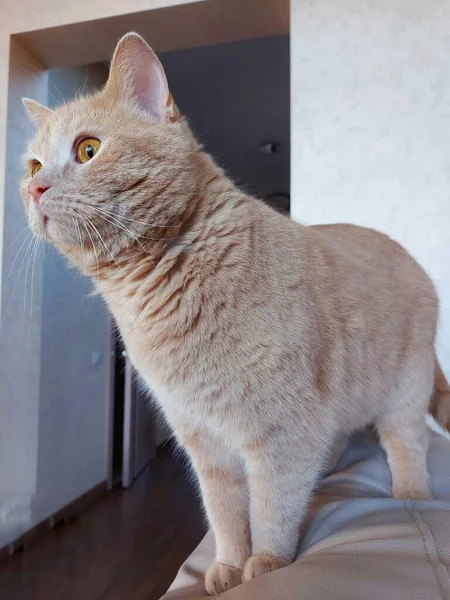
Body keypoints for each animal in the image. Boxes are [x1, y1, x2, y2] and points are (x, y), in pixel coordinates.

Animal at [21, 32, 450, 596]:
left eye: (87, 150)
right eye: (32, 166)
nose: (34, 189)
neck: (154, 293)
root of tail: (409, 254)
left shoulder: (284, 431)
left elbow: (272, 505)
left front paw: (266, 565)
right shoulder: (203, 440)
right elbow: (224, 511)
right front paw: (227, 566)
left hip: (404, 393)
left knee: (406, 450)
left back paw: (409, 501)